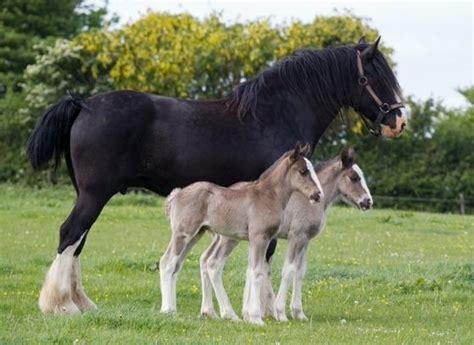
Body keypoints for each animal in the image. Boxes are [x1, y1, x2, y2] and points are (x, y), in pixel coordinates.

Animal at [160, 143, 322, 326]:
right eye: (303, 171)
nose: (317, 194)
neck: (267, 196)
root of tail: (177, 194)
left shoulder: (256, 240)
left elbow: (251, 271)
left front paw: (249, 316)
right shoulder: (260, 237)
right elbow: (257, 272)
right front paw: (257, 318)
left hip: (196, 234)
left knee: (177, 265)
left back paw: (178, 309)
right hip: (183, 233)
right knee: (167, 262)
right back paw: (167, 310)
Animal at [198, 148, 372, 322]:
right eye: (354, 178)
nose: (368, 202)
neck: (308, 200)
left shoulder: (305, 240)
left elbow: (300, 271)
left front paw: (299, 313)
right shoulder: (296, 236)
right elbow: (289, 270)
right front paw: (280, 312)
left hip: (224, 237)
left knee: (205, 259)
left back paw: (209, 311)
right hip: (229, 238)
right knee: (214, 263)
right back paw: (227, 313)